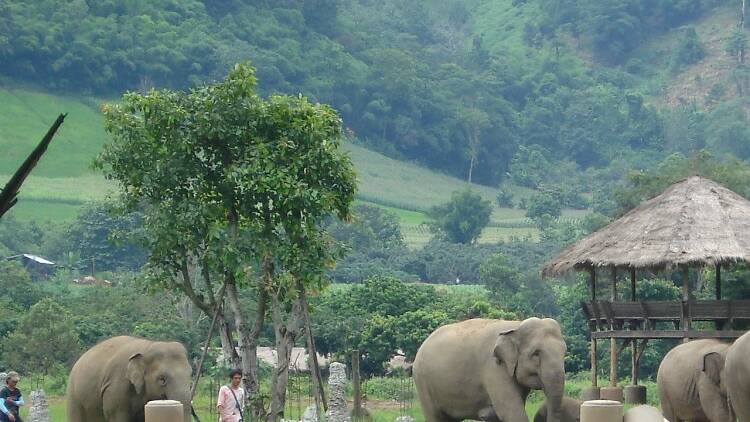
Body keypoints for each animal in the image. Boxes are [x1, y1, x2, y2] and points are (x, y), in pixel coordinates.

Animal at [412, 316, 568, 422]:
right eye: (536, 353)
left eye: (564, 352)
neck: (516, 326)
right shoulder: (494, 368)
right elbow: (511, 412)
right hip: (423, 383)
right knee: (435, 416)